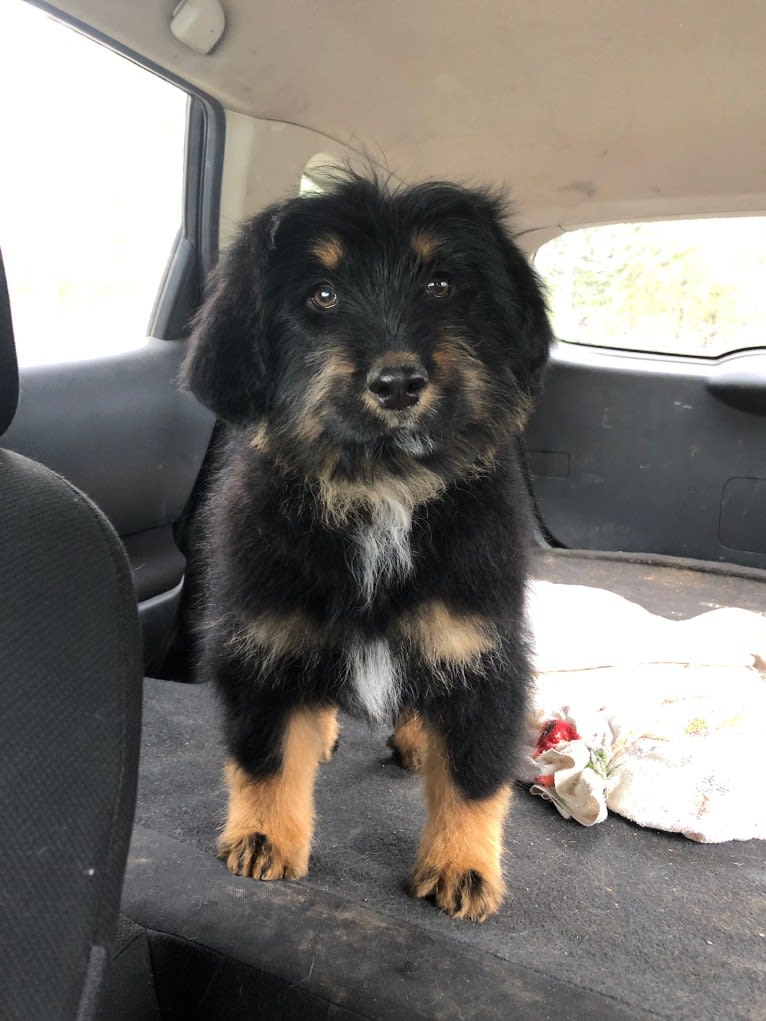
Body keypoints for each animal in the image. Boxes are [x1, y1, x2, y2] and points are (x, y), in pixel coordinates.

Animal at [179, 171, 551, 922]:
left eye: (441, 283)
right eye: (321, 294)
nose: (399, 383)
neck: (381, 485)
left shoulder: (479, 647)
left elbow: (473, 772)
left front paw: (462, 867)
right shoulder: (265, 637)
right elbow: (266, 755)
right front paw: (263, 837)